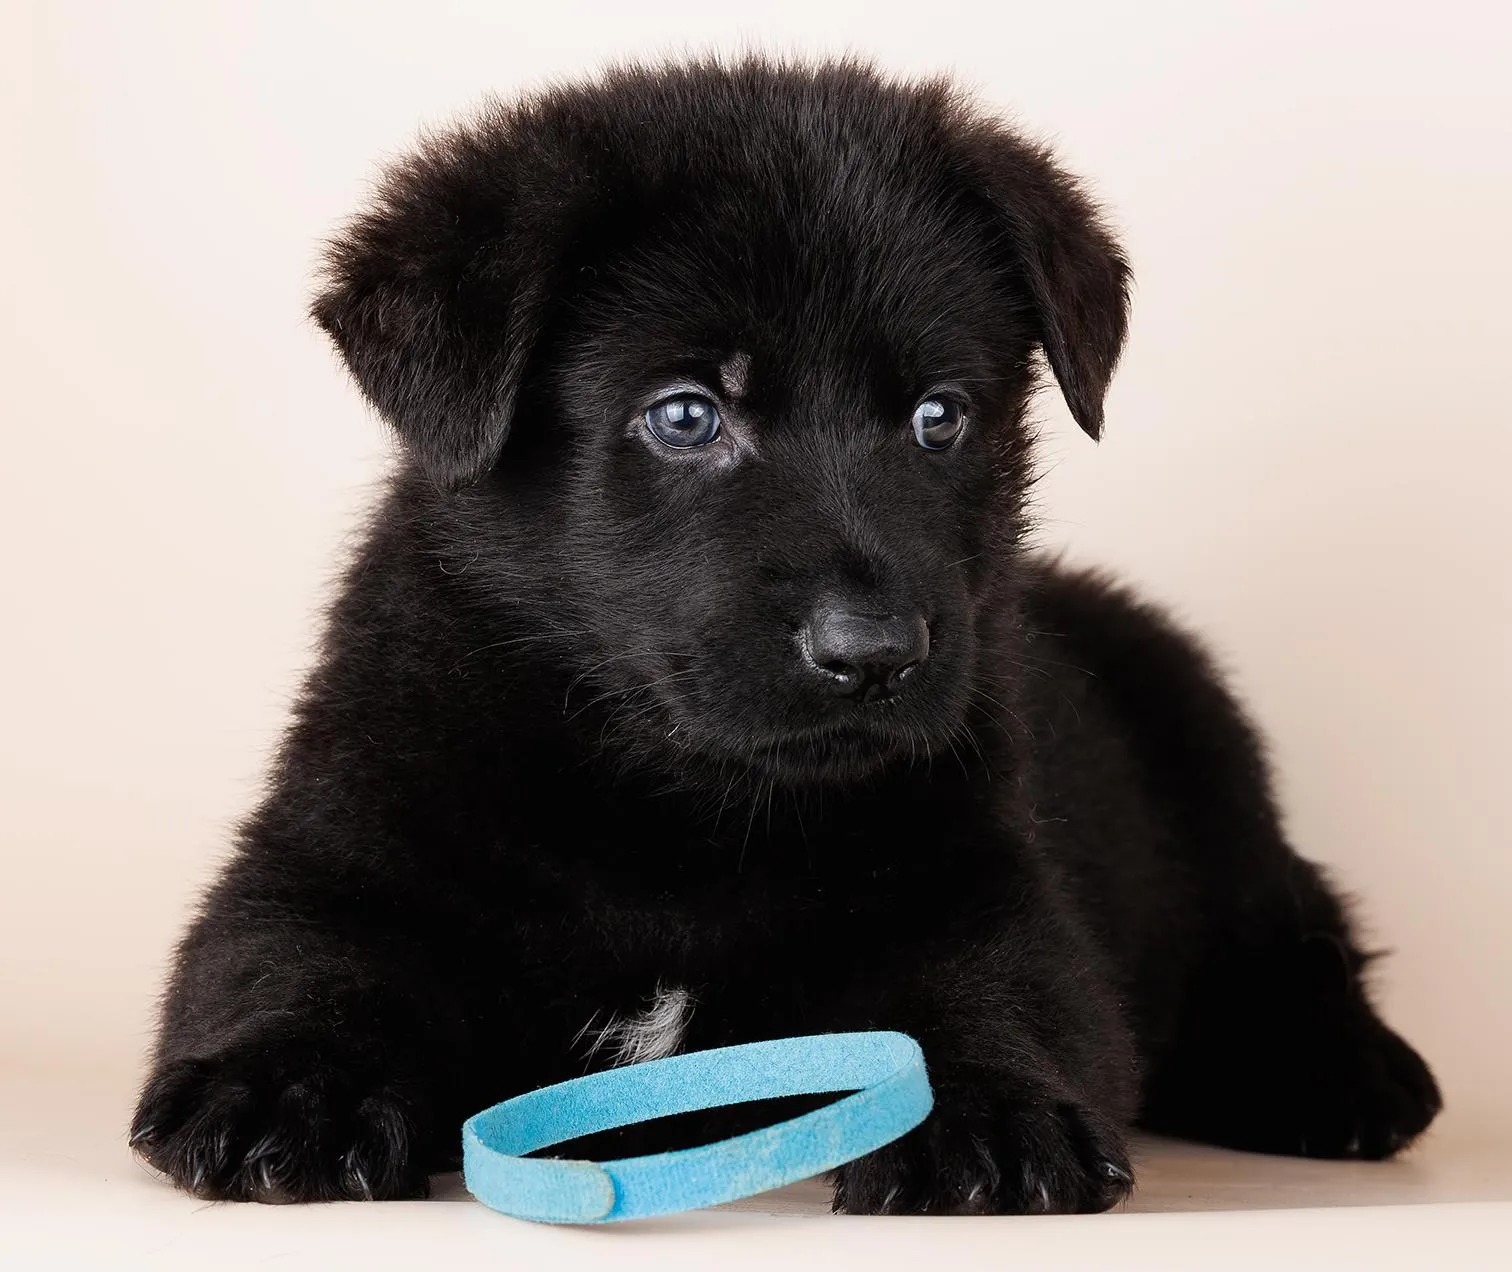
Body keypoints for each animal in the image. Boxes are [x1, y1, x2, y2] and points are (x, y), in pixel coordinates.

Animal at [129, 58, 1441, 1213]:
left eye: (939, 417)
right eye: (685, 416)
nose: (875, 654)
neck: (674, 807)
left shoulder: (982, 877)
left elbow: (999, 990)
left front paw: (990, 1114)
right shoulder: (328, 854)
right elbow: (292, 962)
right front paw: (284, 1092)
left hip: (1214, 771)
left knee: (1299, 935)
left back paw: (1346, 1073)